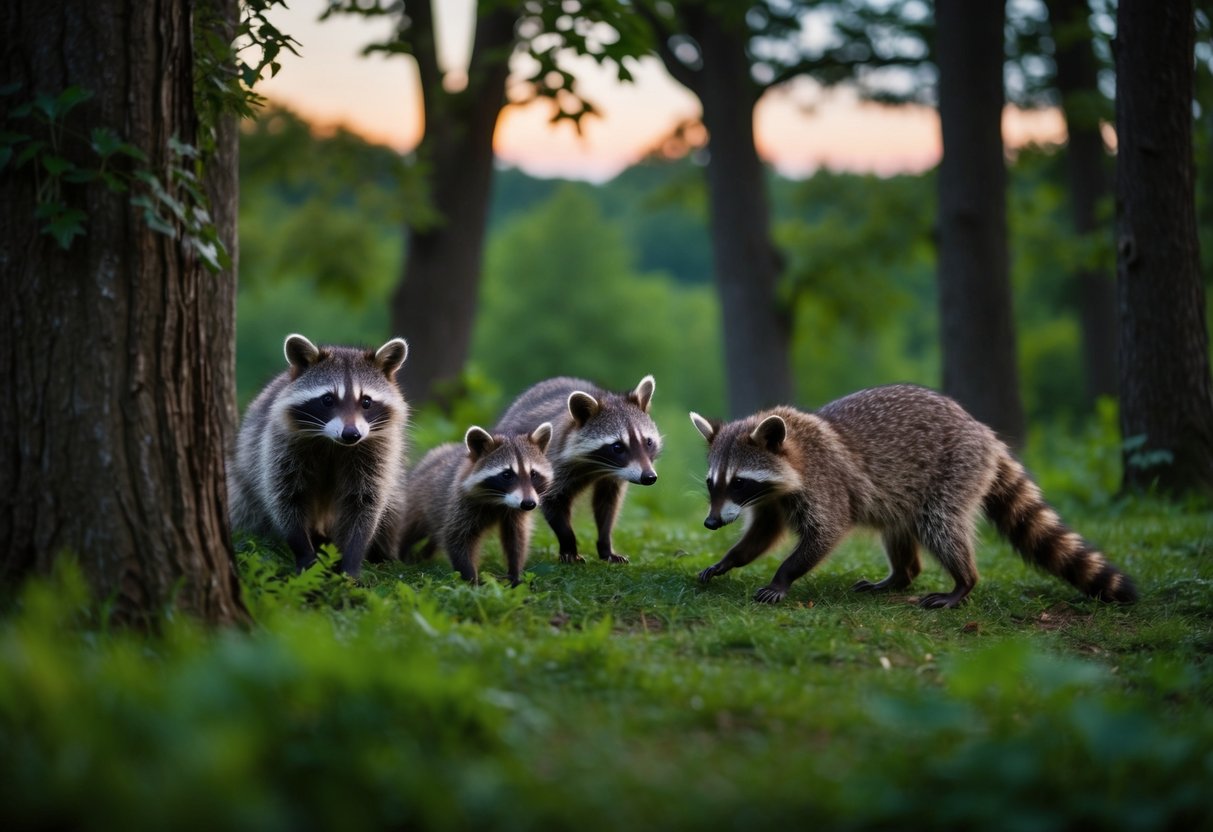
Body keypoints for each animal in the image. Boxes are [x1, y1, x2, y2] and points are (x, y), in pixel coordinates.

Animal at [228, 333, 409, 578]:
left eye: (366, 402)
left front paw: (351, 560)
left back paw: (384, 554)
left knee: (393, 509)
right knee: (247, 510)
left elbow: (364, 502)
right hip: (243, 484)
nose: (351, 434)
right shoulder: (279, 444)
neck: (334, 444)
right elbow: (285, 497)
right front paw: (305, 553)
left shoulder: (378, 449)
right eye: (327, 400)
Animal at [400, 424, 553, 585]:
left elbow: (516, 538)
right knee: (411, 528)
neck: (500, 501)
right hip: (417, 500)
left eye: (533, 474)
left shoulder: (515, 512)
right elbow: (456, 538)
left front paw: (514, 572)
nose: (529, 504)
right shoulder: (460, 504)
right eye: (506, 475)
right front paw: (470, 579)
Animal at [494, 376, 661, 564]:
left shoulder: (613, 477)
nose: (649, 477)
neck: (598, 467)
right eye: (617, 447)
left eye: (648, 442)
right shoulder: (553, 462)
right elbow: (553, 501)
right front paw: (568, 543)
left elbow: (608, 505)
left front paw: (606, 543)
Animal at [690, 384, 1137, 607]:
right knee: (899, 529)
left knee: (941, 526)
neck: (793, 451)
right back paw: (901, 575)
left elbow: (825, 533)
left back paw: (963, 582)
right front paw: (730, 558)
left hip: (956, 471)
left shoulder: (823, 483)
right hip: (904, 492)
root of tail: (982, 431)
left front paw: (783, 576)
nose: (710, 522)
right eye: (713, 484)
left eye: (739, 482)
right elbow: (762, 534)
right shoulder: (772, 500)